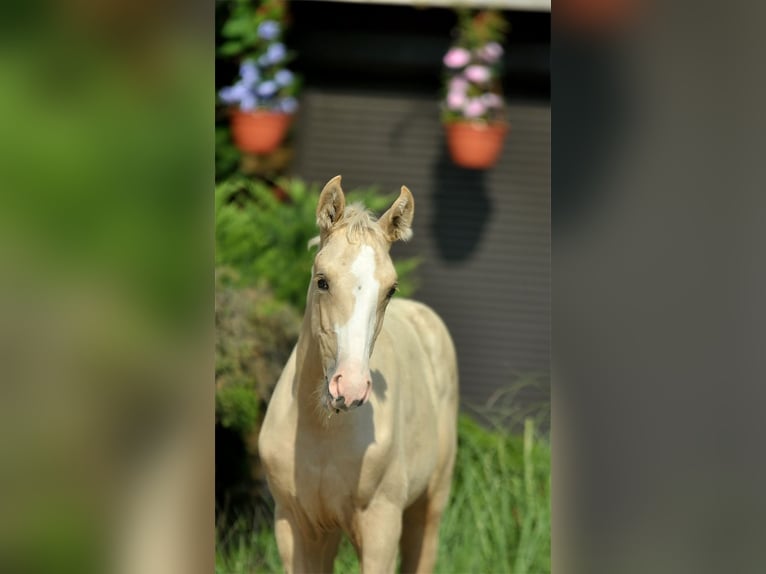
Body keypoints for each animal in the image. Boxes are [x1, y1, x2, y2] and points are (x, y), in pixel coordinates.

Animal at [260, 178, 460, 572]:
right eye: (322, 281)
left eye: (390, 289)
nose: (349, 388)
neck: (321, 431)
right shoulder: (294, 525)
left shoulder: (380, 526)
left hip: (429, 503)